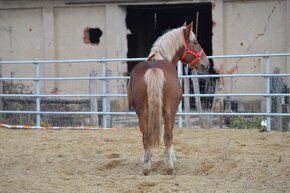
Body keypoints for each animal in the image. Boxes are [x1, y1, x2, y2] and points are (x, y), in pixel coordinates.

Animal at [127, 22, 208, 175]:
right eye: (195, 42)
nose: (206, 63)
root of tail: (154, 69)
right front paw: (169, 157)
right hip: (170, 111)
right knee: (168, 135)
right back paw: (169, 167)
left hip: (142, 112)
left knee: (146, 136)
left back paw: (146, 167)